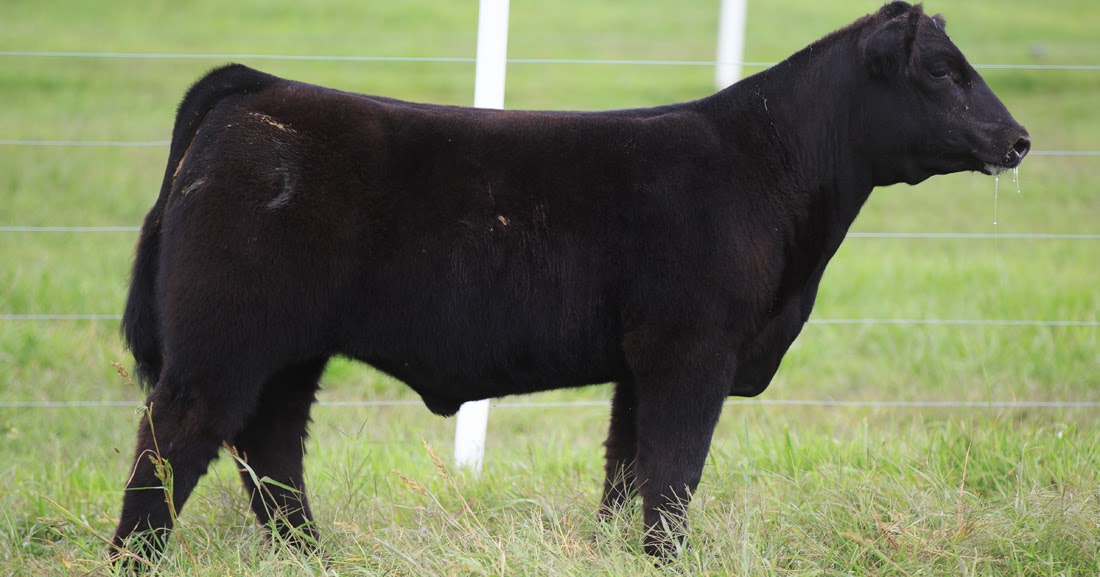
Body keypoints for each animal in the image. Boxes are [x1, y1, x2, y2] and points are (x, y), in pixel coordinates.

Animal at [110, 1, 1029, 564]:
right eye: (942, 72)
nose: (1019, 139)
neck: (770, 167)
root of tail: (258, 88)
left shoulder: (640, 365)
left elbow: (627, 472)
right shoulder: (693, 353)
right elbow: (673, 474)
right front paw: (666, 559)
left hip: (291, 352)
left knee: (270, 452)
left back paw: (315, 557)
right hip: (221, 345)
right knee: (172, 443)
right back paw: (137, 559)